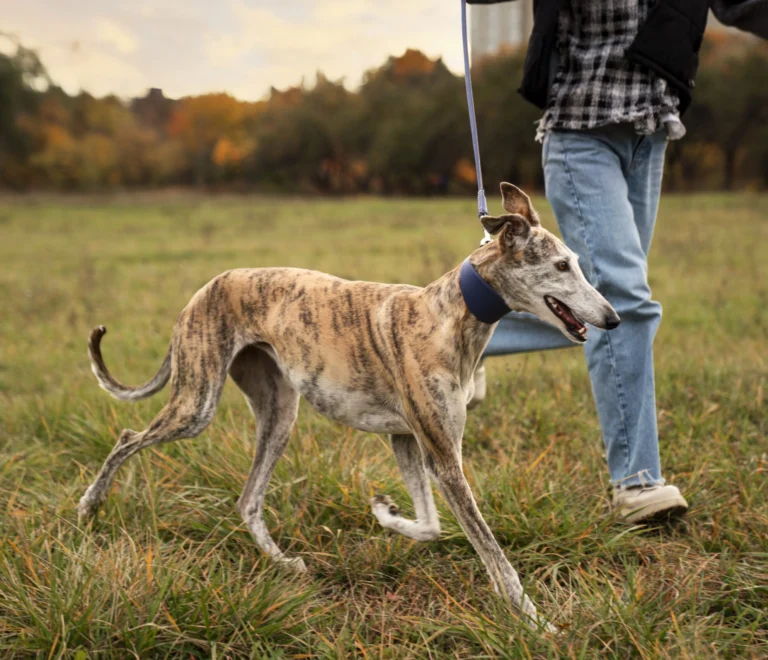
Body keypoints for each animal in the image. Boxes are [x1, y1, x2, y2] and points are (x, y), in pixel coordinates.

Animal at [78, 183, 616, 628]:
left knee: (247, 500)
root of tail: (205, 289)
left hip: (278, 414)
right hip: (196, 405)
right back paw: (89, 505)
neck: (450, 313)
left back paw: (282, 562)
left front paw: (384, 512)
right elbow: (493, 556)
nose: (612, 318)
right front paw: (537, 624)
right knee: (128, 438)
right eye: (562, 266)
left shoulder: (407, 440)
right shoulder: (444, 457)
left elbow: (429, 525)